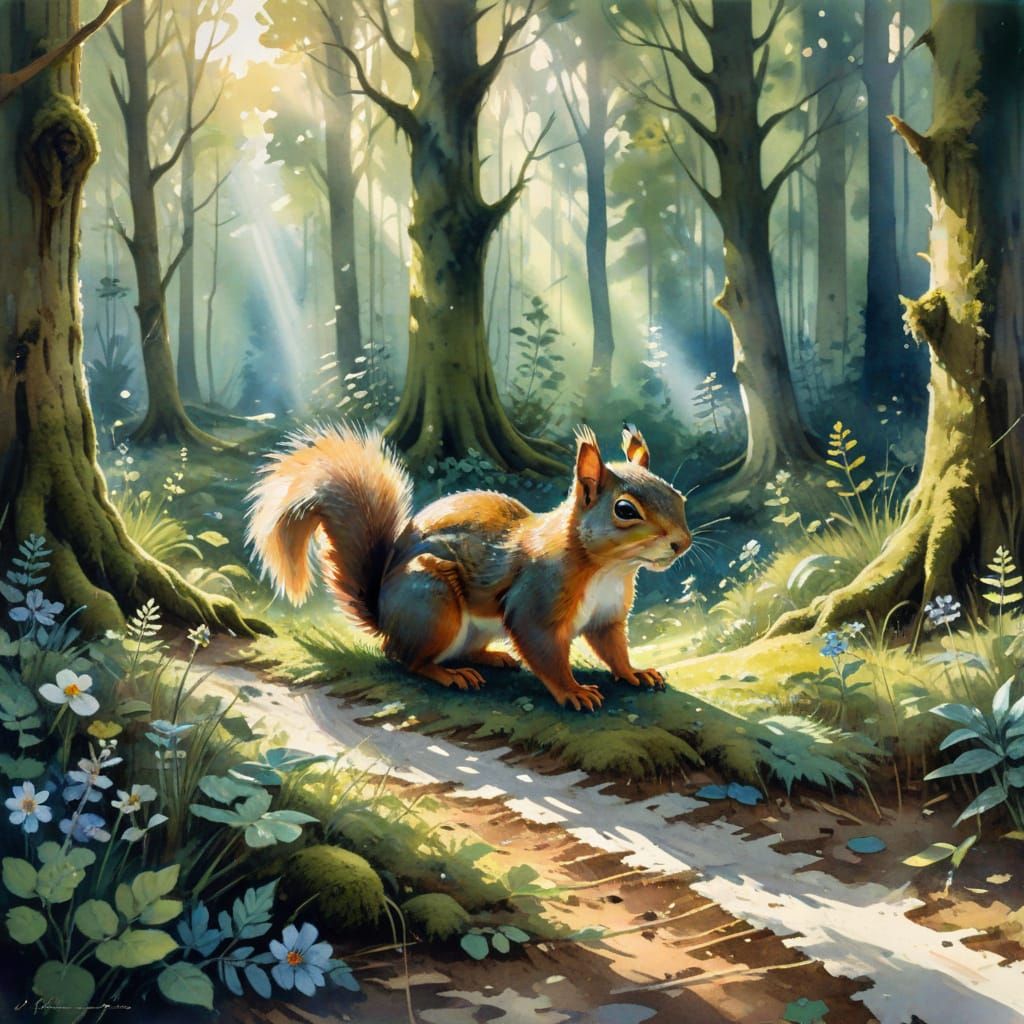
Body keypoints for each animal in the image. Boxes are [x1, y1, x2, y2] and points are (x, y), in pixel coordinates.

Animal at [246, 423, 691, 711]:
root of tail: (384, 615)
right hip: (432, 604)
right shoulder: (536, 603)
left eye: (678, 496)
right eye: (625, 510)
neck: (610, 570)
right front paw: (573, 692)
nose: (682, 543)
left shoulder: (608, 615)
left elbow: (613, 648)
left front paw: (635, 672)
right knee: (403, 657)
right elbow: (545, 652)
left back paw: (491, 659)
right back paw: (449, 675)